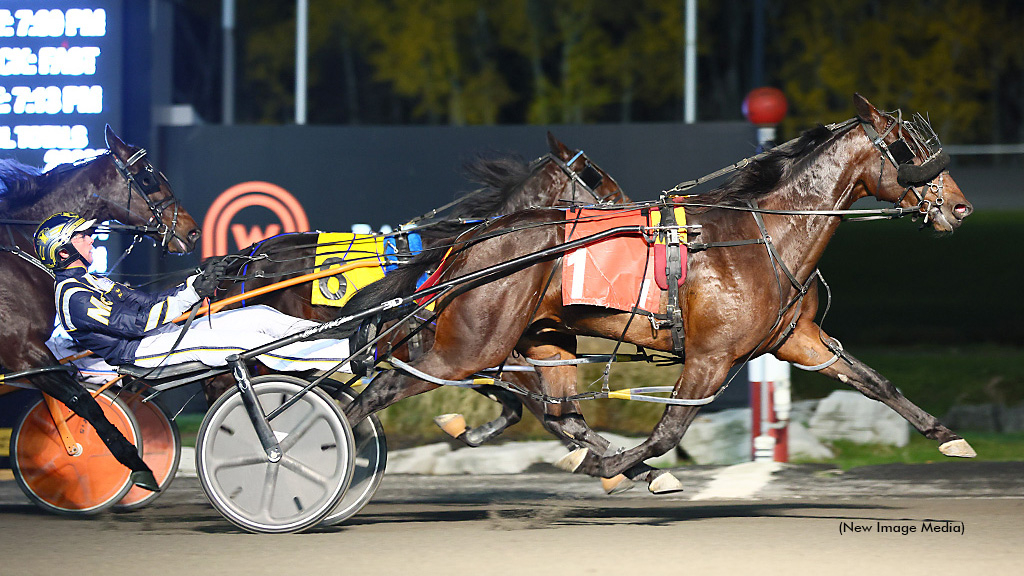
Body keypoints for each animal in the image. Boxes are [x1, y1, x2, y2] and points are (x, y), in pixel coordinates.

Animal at [337, 94, 974, 487]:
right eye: (909, 149)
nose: (960, 207)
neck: (765, 234)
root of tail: (477, 235)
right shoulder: (711, 355)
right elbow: (667, 430)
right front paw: (616, 469)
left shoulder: (797, 339)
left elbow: (874, 381)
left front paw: (947, 437)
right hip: (472, 346)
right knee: (374, 393)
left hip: (540, 338)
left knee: (561, 412)